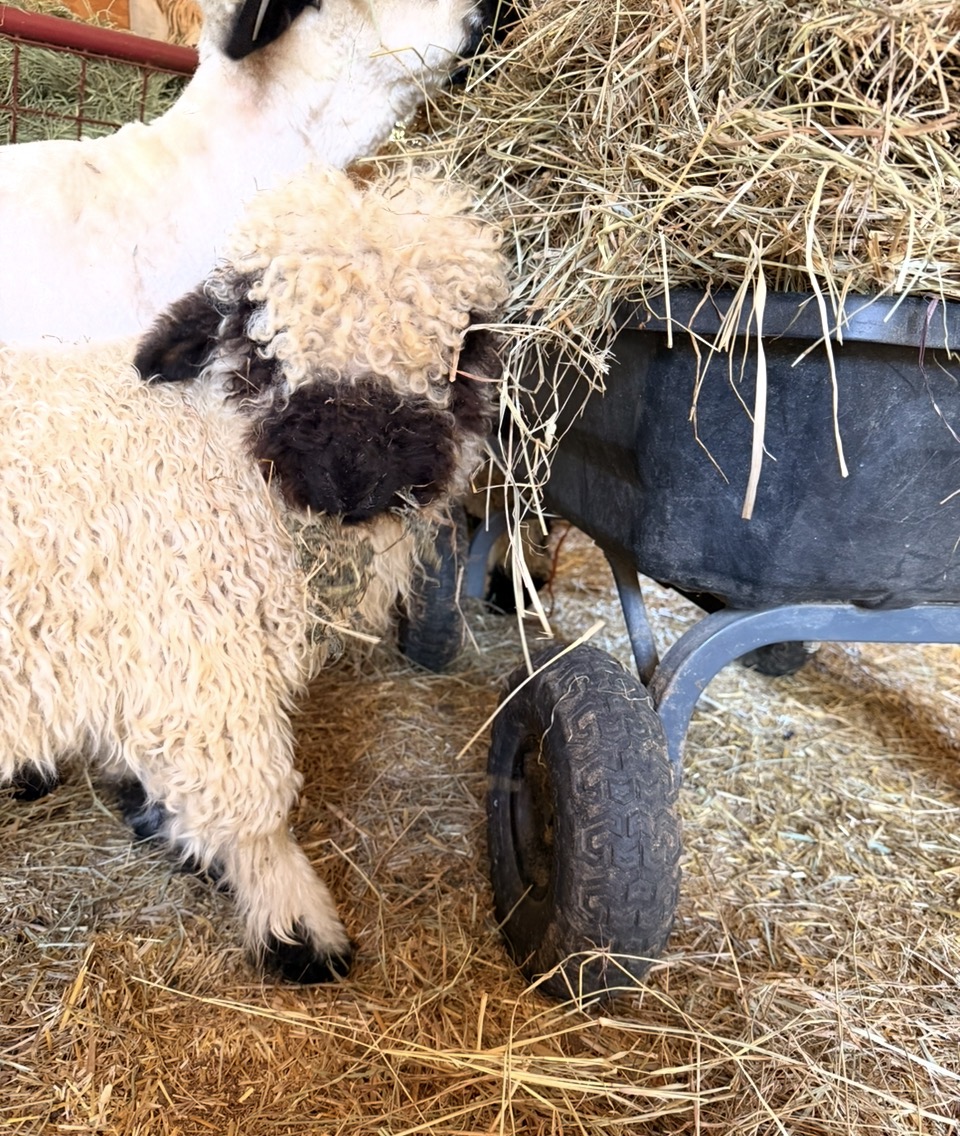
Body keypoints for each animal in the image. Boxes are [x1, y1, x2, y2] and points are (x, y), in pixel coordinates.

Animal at [0, 164, 508, 981]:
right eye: (262, 349)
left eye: (459, 353)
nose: (350, 481)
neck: (214, 449)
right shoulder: (204, 664)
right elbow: (253, 805)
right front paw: (296, 924)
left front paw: (161, 821)